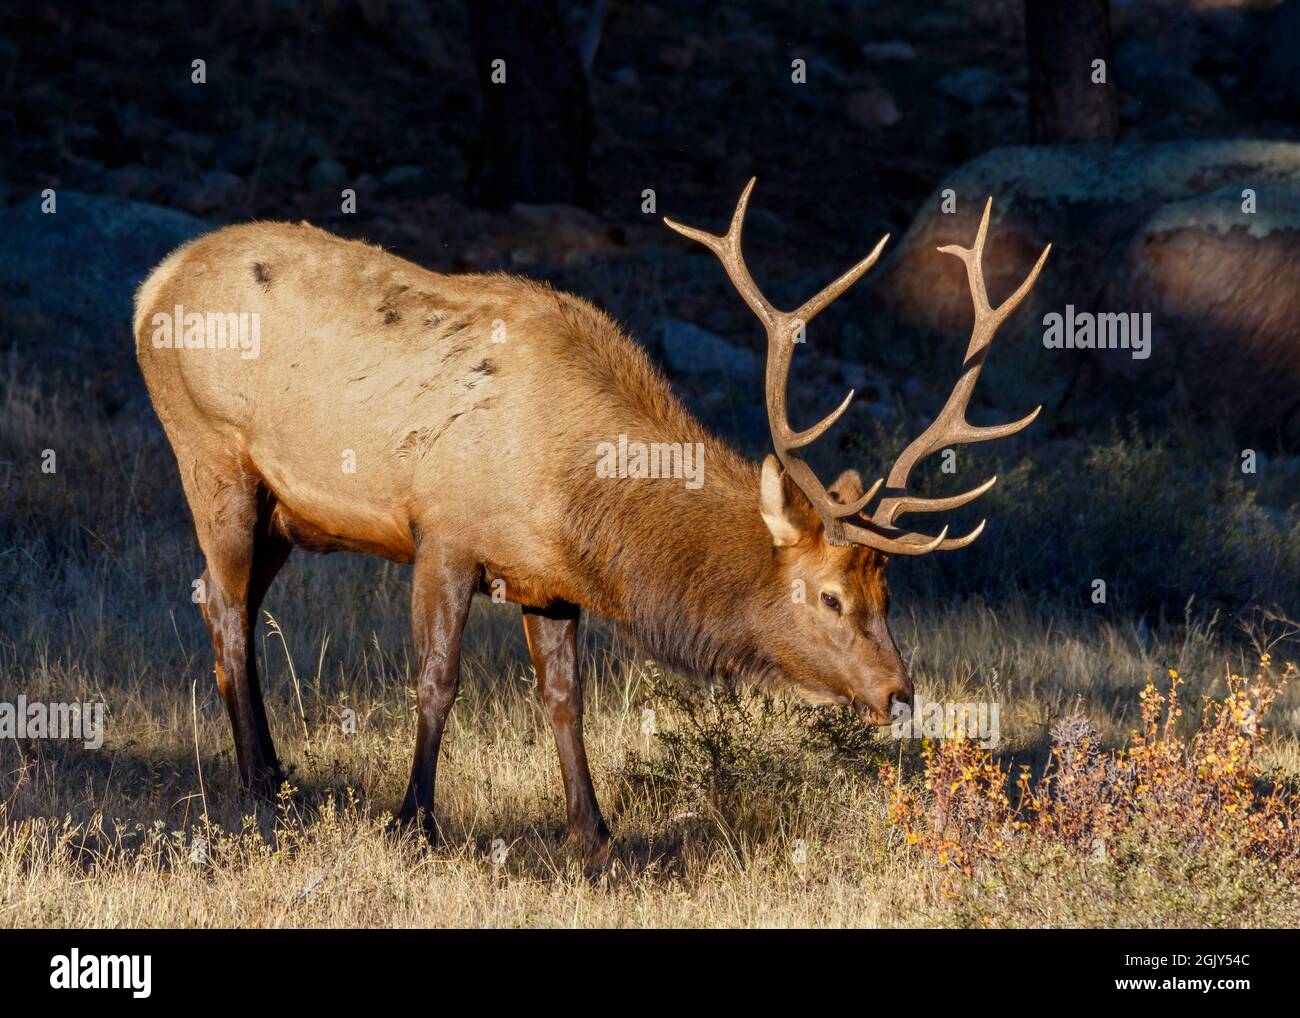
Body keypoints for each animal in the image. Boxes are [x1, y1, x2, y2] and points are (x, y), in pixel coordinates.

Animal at [134, 180, 1048, 864]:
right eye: (830, 597)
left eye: (887, 595)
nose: (900, 694)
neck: (577, 494)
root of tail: (151, 286)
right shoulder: (445, 532)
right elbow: (436, 681)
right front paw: (414, 822)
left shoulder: (547, 578)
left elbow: (565, 697)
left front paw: (594, 833)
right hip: (209, 451)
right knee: (225, 607)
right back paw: (258, 782)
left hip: (283, 512)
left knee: (229, 601)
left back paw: (278, 772)